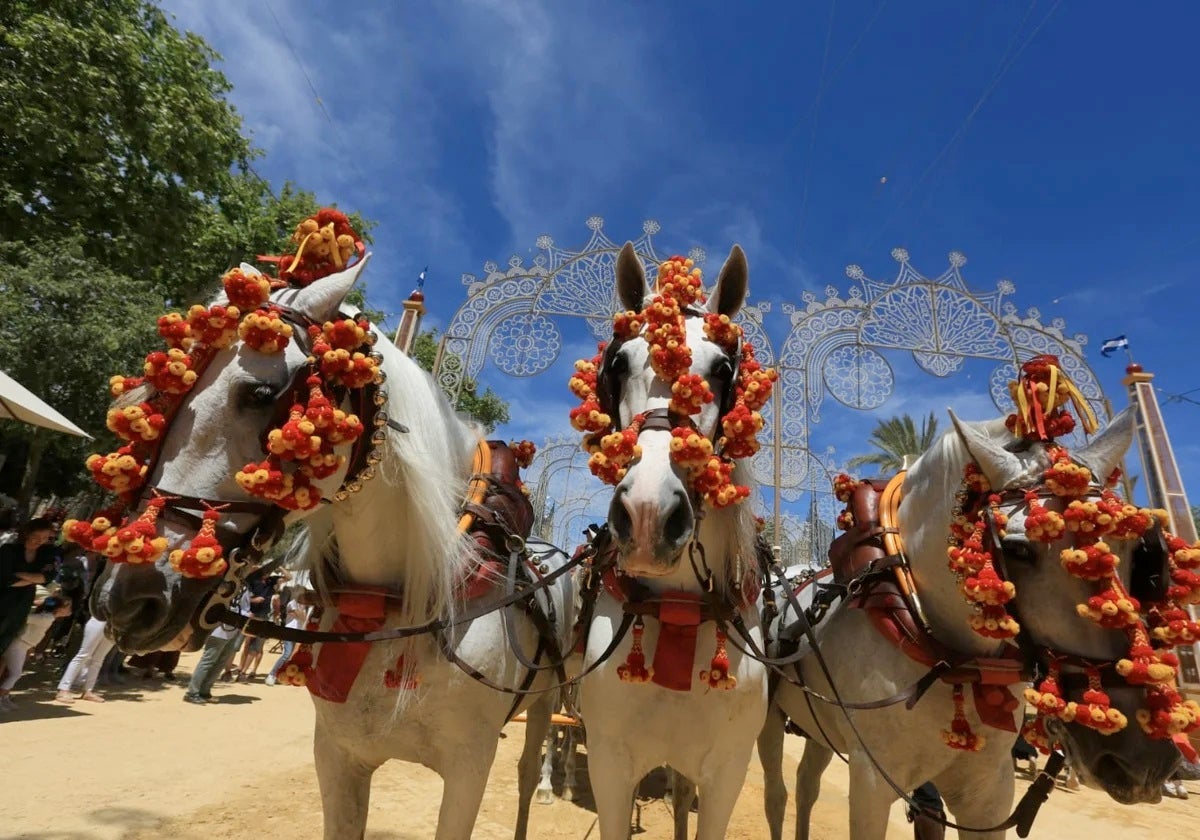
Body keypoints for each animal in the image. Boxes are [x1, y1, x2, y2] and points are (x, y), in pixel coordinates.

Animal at [92, 259, 576, 835]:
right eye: (168, 390)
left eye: (260, 394)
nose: (128, 598)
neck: (395, 602)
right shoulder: (337, 755)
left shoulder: (468, 771)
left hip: (545, 700)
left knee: (529, 769)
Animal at [580, 242, 768, 840]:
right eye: (618, 362)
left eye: (723, 368)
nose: (647, 515)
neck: (679, 607)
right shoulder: (610, 767)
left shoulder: (727, 774)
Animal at [758, 410, 1180, 840]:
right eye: (1017, 549)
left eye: (1138, 548)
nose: (1143, 758)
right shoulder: (871, 782)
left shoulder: (989, 791)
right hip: (769, 717)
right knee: (777, 793)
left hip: (821, 728)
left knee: (807, 783)